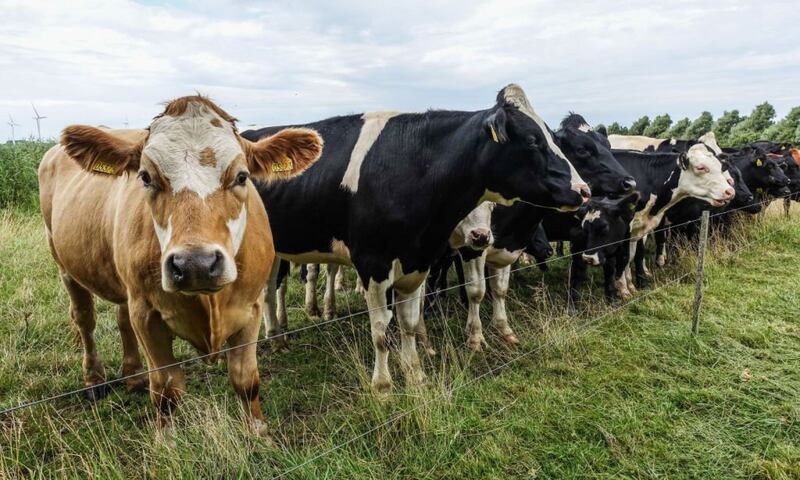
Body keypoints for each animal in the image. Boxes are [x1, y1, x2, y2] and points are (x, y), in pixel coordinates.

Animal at [39, 95, 322, 434]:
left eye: (242, 176)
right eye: (146, 177)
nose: (195, 264)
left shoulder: (251, 307)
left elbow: (247, 381)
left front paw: (258, 434)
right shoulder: (146, 313)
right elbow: (166, 390)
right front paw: (165, 441)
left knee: (121, 318)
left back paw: (134, 376)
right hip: (64, 263)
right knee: (84, 319)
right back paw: (94, 379)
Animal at [242, 84, 588, 394]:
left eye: (553, 138)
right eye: (532, 140)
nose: (584, 190)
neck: (415, 167)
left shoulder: (417, 262)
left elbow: (408, 322)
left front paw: (416, 375)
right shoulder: (373, 264)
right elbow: (381, 331)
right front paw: (382, 387)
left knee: (268, 290)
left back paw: (277, 338)